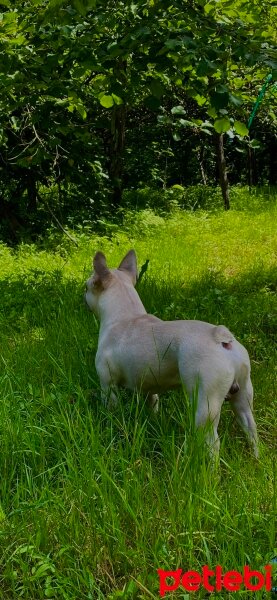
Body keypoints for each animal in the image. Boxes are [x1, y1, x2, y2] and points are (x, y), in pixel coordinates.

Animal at [85, 251, 258, 458]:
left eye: (86, 286)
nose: (83, 294)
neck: (126, 316)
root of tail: (220, 337)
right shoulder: (148, 385)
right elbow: (153, 403)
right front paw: (153, 419)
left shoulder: (107, 384)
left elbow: (111, 408)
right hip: (243, 395)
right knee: (251, 429)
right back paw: (257, 458)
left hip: (204, 403)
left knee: (212, 442)